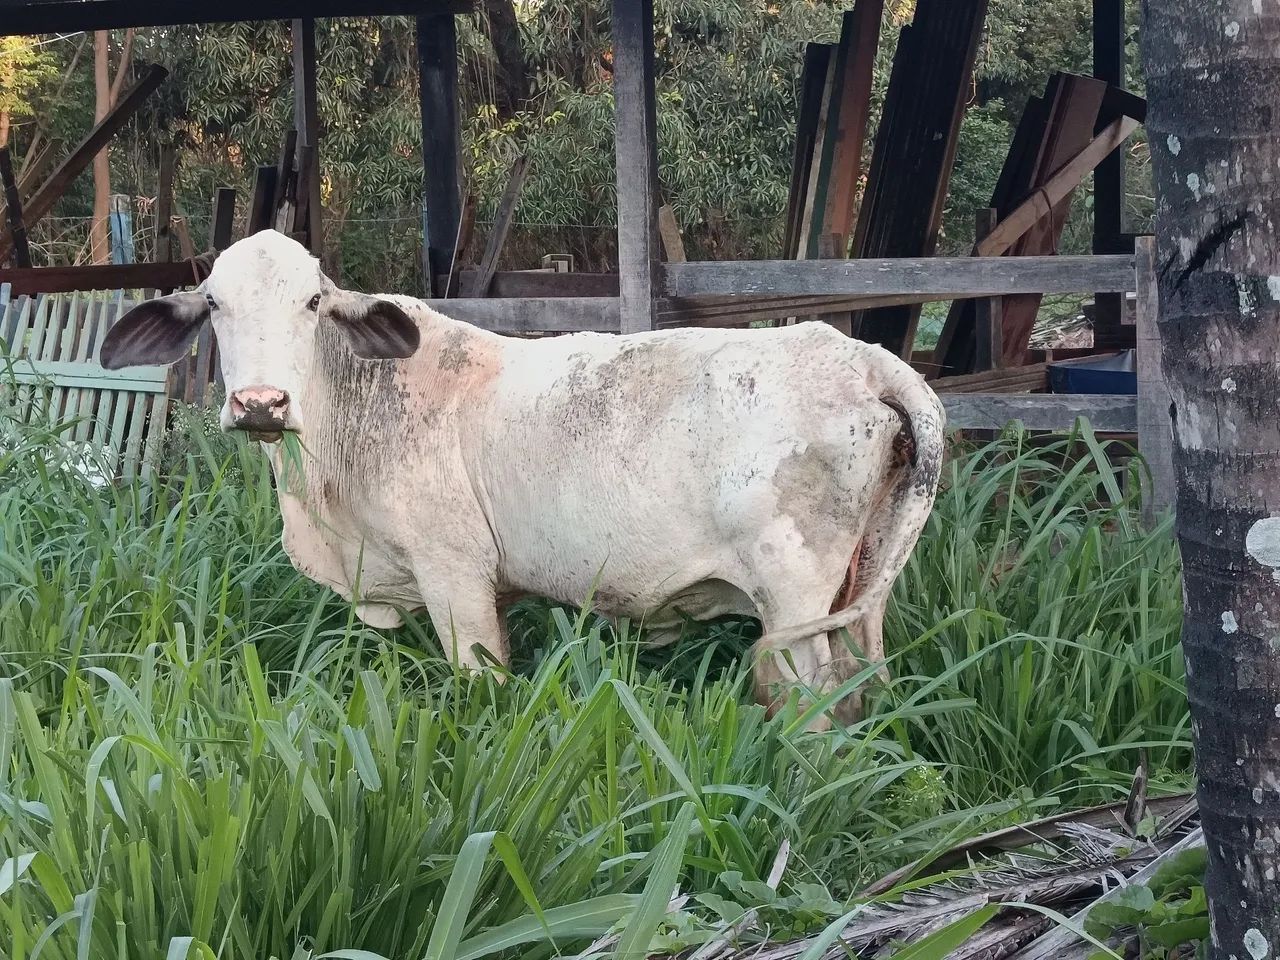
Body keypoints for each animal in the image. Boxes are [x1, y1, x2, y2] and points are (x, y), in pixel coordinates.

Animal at [101, 230, 944, 724]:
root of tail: (868, 360)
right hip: (856, 588)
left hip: (795, 601)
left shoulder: (455, 576)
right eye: (214, 303)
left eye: (312, 301)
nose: (260, 403)